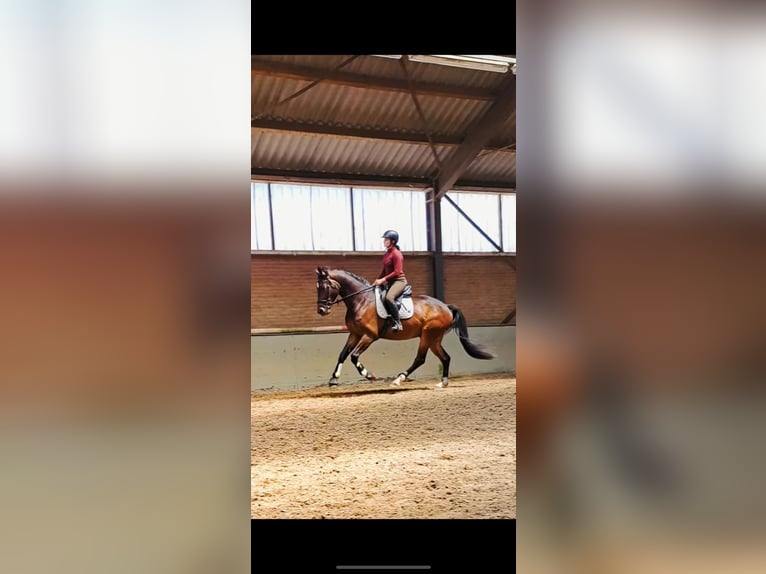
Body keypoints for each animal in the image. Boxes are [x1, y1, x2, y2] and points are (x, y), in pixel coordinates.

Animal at [315, 266, 495, 388]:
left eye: (325, 287)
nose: (321, 310)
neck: (361, 300)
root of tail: (446, 307)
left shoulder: (370, 336)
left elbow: (354, 356)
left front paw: (370, 376)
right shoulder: (355, 334)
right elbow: (342, 355)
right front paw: (334, 379)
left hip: (427, 335)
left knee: (420, 359)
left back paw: (398, 379)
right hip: (434, 338)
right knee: (445, 358)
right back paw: (442, 383)